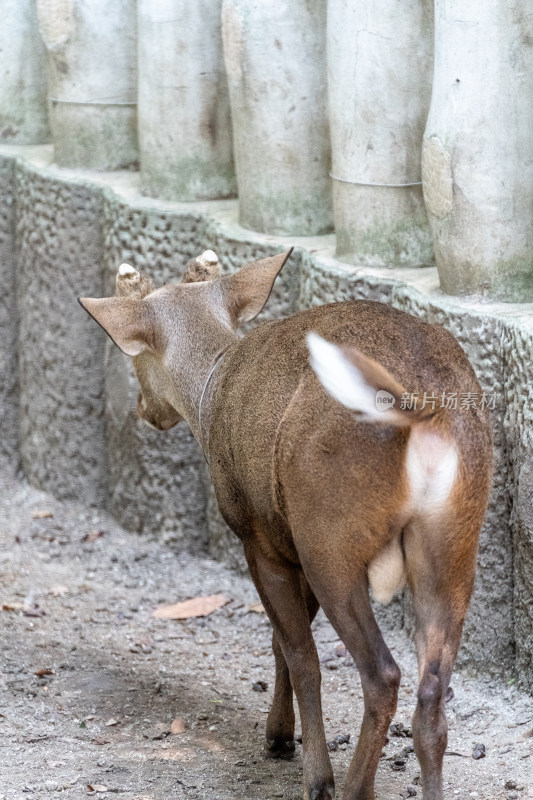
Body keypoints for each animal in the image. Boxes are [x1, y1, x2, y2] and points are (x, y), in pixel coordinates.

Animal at [78, 247, 490, 796]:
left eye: (135, 355)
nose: (145, 409)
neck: (213, 388)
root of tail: (421, 416)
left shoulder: (259, 533)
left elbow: (297, 652)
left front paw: (302, 763)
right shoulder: (288, 533)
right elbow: (282, 641)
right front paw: (279, 734)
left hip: (331, 533)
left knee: (381, 673)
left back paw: (351, 787)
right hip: (453, 541)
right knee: (432, 693)